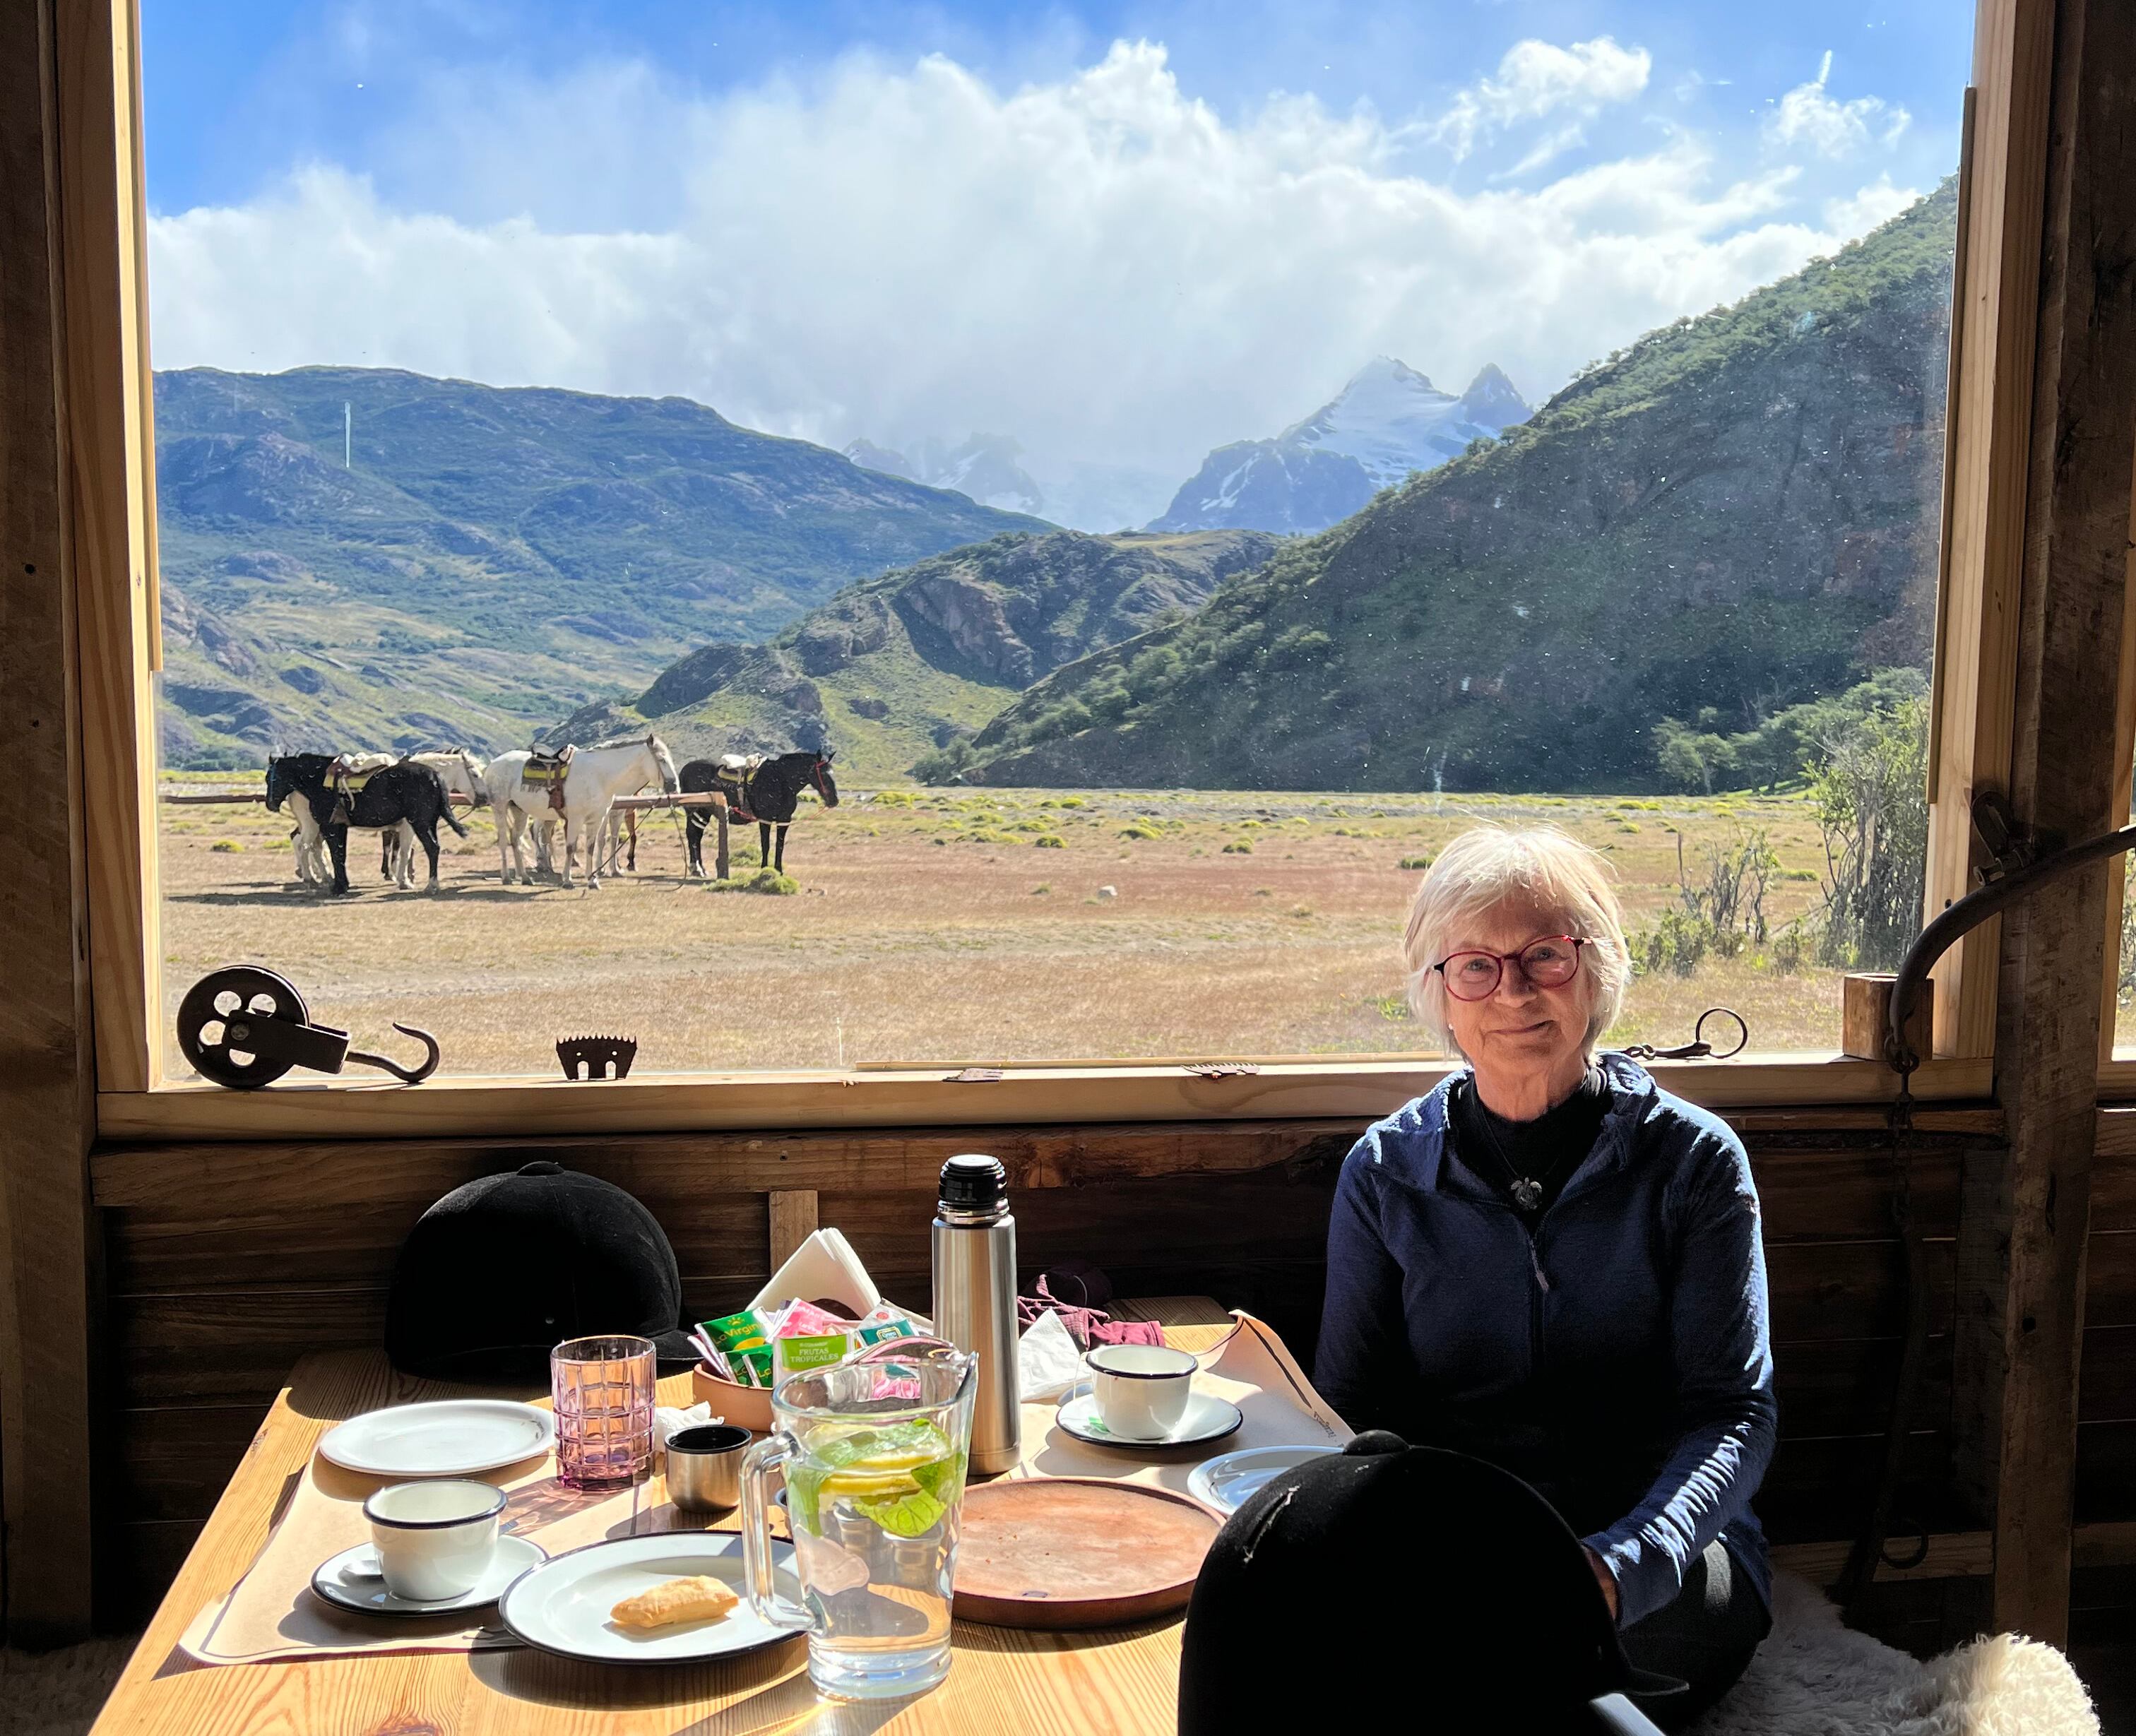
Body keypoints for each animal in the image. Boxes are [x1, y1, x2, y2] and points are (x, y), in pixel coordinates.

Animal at [267, 756, 468, 892]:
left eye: (273, 778)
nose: (270, 804)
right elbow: (339, 854)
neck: (319, 781)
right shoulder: (337, 826)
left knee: (432, 848)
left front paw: (339, 887)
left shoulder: (331, 826)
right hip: (428, 823)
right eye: (267, 778)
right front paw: (342, 885)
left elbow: (337, 854)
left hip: (420, 823)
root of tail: (434, 775)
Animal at [489, 735, 675, 888]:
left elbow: (591, 846)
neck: (599, 776)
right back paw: (507, 877)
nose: (673, 785)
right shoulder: (576, 819)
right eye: (662, 759)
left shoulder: (597, 819)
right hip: (500, 808)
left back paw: (526, 878)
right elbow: (571, 847)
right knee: (505, 841)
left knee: (516, 839)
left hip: (519, 810)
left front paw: (593, 880)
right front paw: (567, 880)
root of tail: (495, 763)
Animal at [687, 747, 846, 875]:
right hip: (694, 810)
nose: (834, 800)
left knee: (697, 835)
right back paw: (696, 869)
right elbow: (766, 844)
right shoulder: (766, 819)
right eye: (823, 774)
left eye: (833, 773)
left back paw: (701, 868)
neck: (781, 781)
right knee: (692, 835)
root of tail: (686, 769)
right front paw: (764, 868)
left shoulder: (784, 820)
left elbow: (780, 845)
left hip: (704, 812)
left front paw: (779, 870)